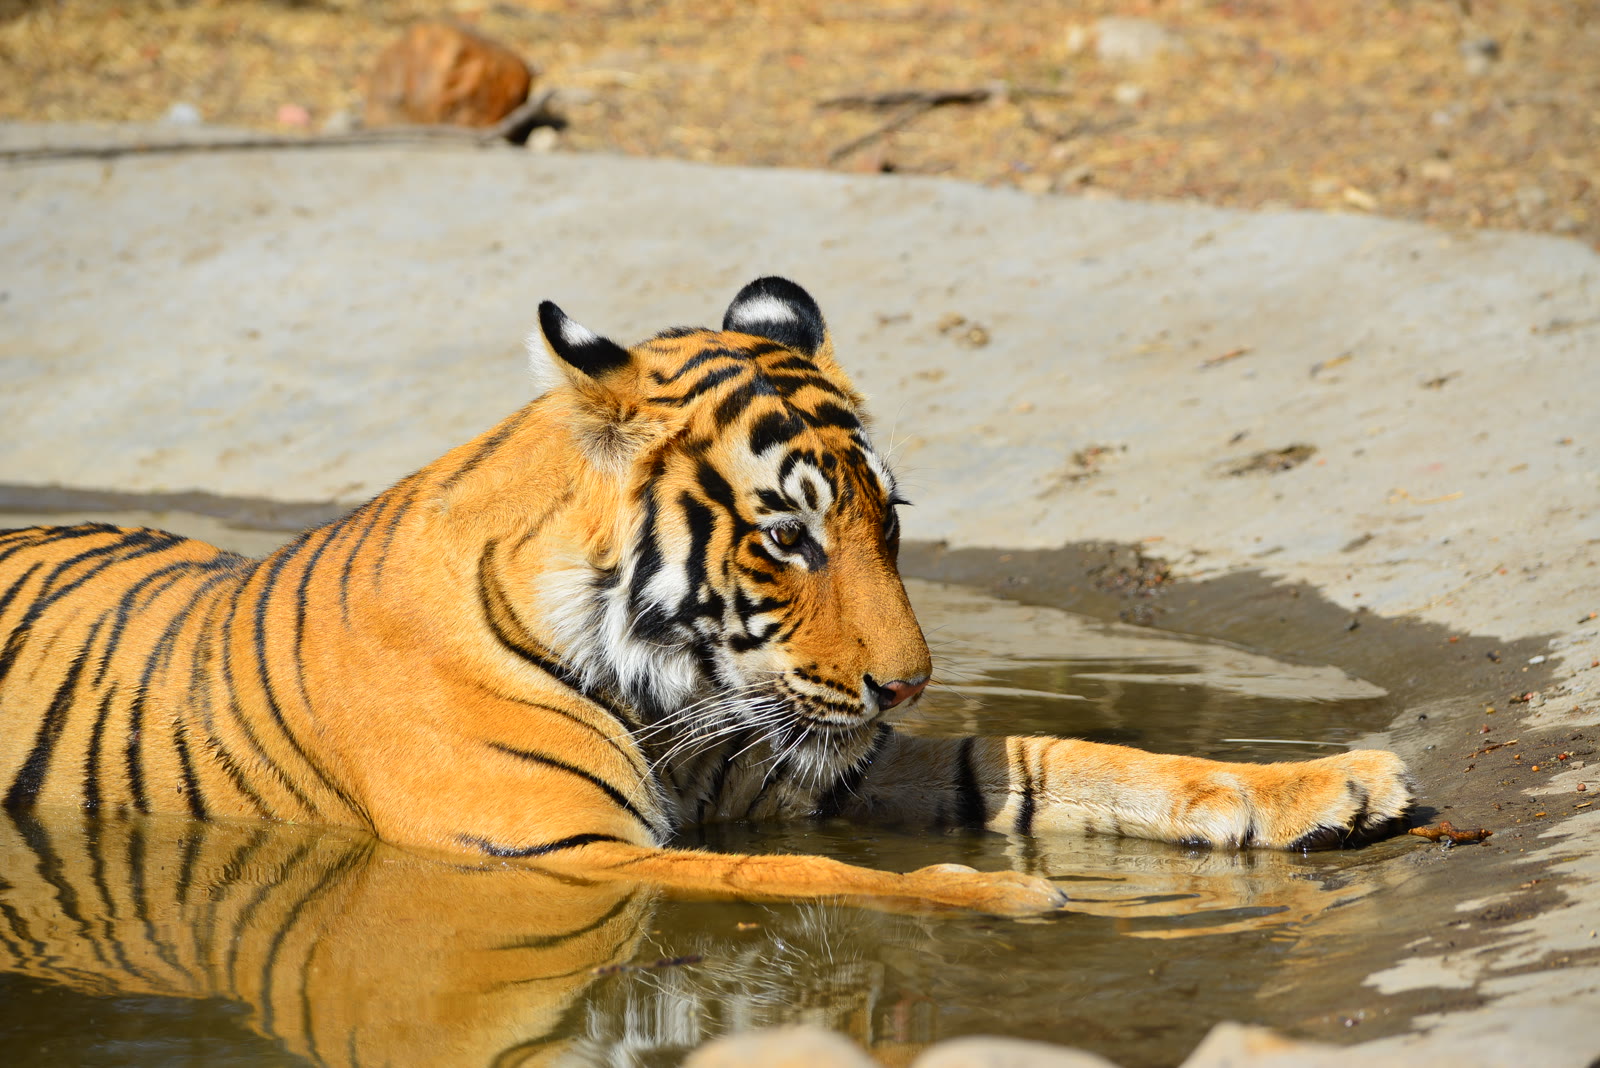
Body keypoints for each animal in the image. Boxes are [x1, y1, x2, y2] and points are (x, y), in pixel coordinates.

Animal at [0, 276, 1414, 914]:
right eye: (785, 537)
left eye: (887, 521)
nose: (908, 684)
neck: (660, 684)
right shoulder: (563, 851)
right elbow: (810, 878)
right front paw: (1002, 897)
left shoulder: (803, 758)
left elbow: (1057, 754)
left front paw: (1322, 784)